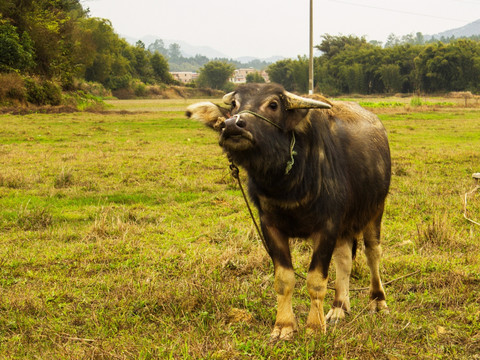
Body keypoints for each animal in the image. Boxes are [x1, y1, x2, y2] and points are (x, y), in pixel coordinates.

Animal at [186, 83, 392, 340]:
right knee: (344, 259)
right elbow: (284, 279)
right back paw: (338, 308)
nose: (232, 125)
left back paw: (378, 301)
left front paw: (314, 327)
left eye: (273, 104)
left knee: (373, 253)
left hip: (375, 210)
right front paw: (284, 325)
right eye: (234, 104)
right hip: (345, 226)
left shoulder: (327, 225)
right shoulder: (270, 226)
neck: (287, 184)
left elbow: (316, 279)